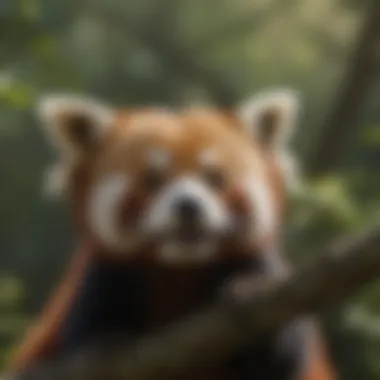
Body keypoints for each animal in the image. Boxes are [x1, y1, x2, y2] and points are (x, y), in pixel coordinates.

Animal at [9, 90, 336, 378]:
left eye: (215, 178)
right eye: (153, 179)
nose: (188, 206)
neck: (178, 266)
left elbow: (283, 356)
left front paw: (247, 289)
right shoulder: (102, 275)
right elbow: (86, 331)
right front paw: (107, 339)